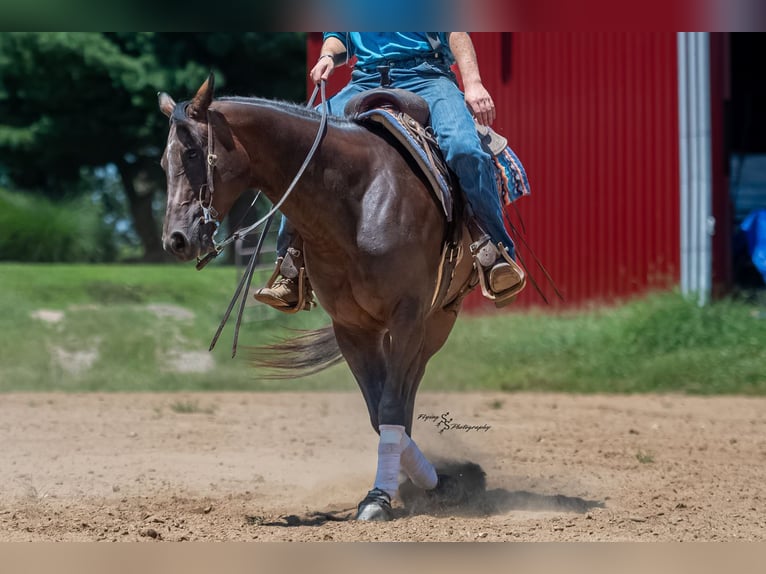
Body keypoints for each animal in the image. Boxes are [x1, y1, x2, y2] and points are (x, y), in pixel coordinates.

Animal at [158, 74, 479, 520]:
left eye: (191, 151)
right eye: (162, 162)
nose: (175, 239)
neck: (358, 199)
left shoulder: (407, 316)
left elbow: (390, 407)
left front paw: (382, 497)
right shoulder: (351, 328)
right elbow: (379, 412)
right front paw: (412, 483)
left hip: (435, 323)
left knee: (408, 387)